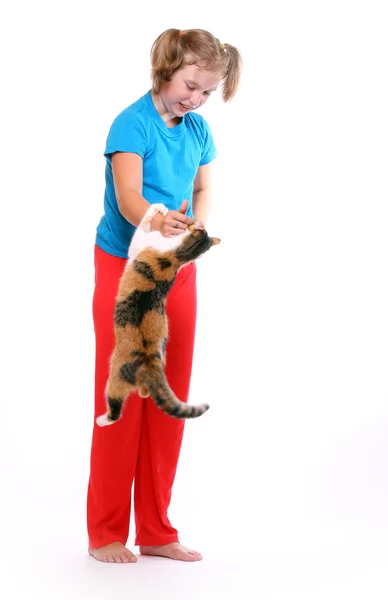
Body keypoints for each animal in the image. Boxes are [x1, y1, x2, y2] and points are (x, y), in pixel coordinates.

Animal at [95, 203, 220, 426]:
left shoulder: (139, 244)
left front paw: (158, 209)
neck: (180, 255)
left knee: (115, 409)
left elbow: (143, 225)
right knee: (146, 393)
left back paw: (102, 420)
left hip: (116, 377)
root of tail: (150, 362)